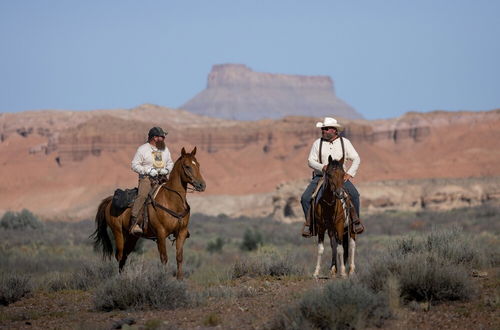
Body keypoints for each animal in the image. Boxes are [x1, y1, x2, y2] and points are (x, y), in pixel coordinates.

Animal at [90, 147, 205, 278]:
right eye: (187, 166)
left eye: (198, 165)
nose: (202, 185)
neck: (172, 200)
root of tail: (110, 200)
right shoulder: (161, 234)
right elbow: (164, 258)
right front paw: (164, 278)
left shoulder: (181, 233)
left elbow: (179, 257)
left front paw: (179, 279)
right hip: (117, 232)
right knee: (119, 255)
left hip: (132, 236)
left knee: (124, 256)